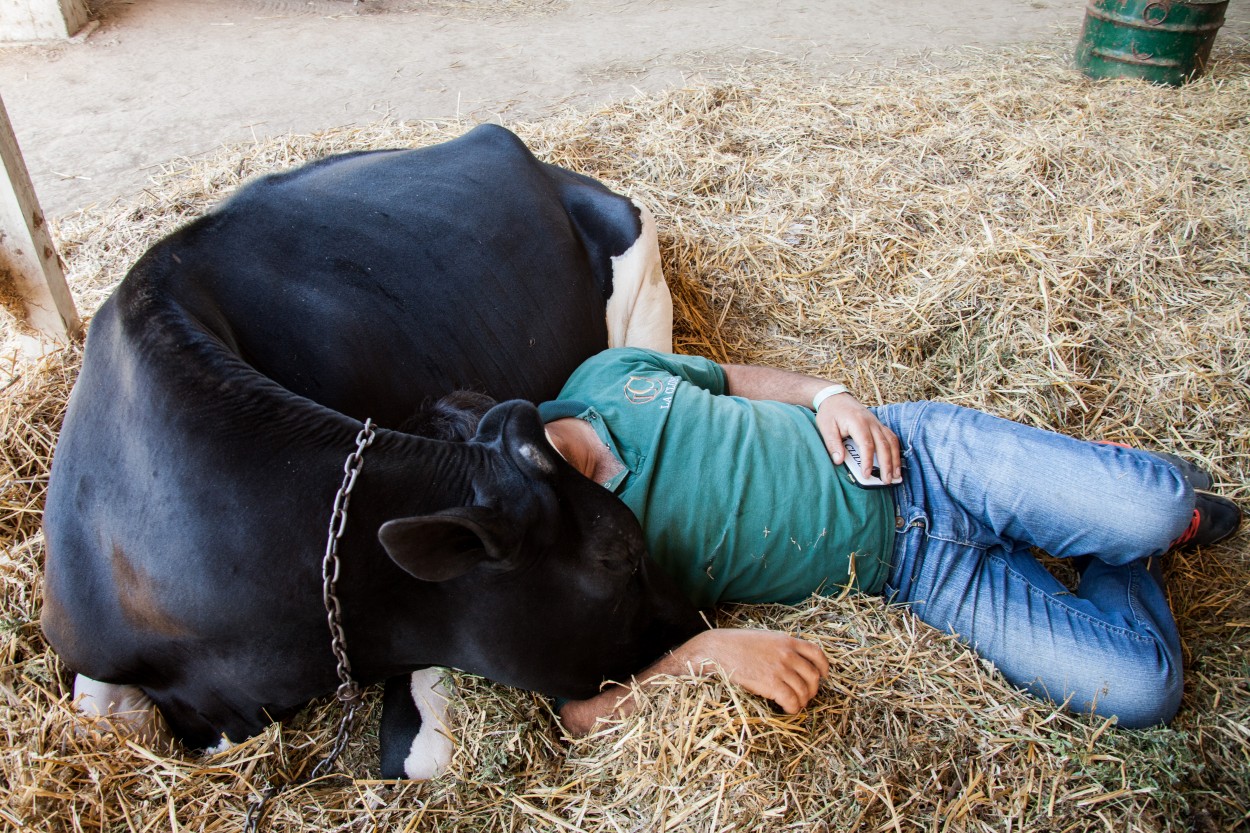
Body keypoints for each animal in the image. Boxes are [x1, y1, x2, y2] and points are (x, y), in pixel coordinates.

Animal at [41, 123, 705, 780]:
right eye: (619, 556)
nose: (697, 614)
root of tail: (509, 146)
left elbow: (422, 752)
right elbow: (100, 713)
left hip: (643, 293)